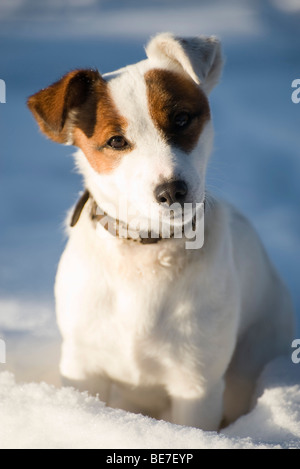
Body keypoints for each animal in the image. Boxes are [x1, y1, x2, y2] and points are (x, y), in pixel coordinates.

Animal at [27, 32, 294, 428]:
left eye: (182, 119)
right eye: (116, 141)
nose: (172, 191)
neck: (145, 254)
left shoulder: (195, 383)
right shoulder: (83, 366)